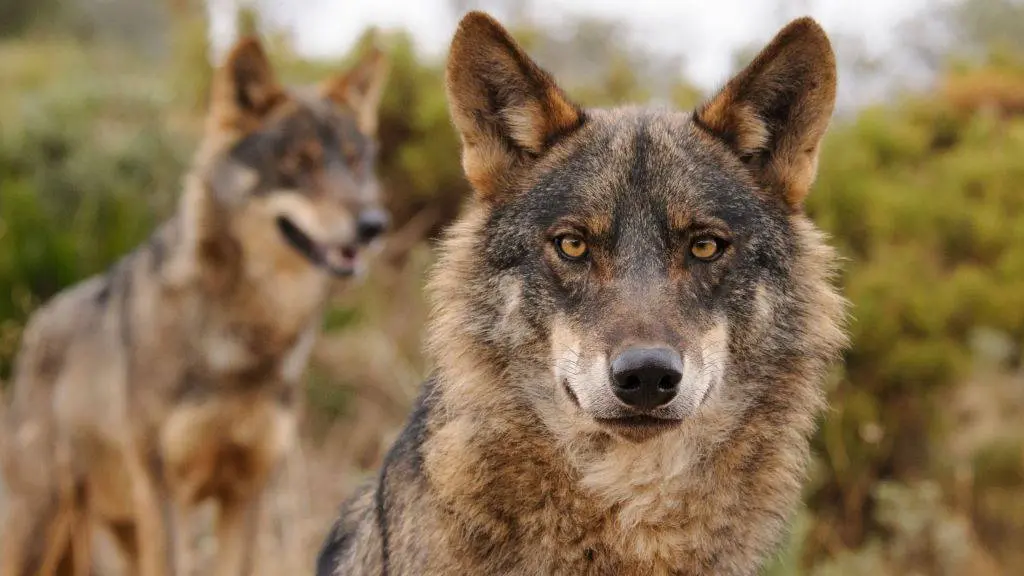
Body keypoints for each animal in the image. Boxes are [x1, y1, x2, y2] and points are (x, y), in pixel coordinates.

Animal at [0, 35, 389, 576]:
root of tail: (36, 323)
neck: (246, 344)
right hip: (48, 528)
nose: (373, 225)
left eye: (354, 162)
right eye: (298, 163)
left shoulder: (246, 492)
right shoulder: (165, 491)